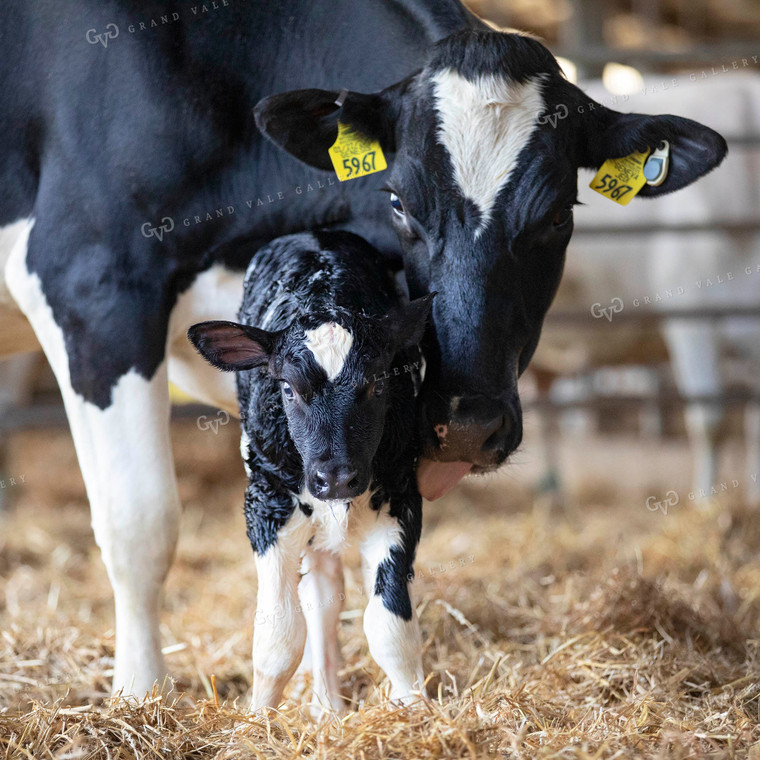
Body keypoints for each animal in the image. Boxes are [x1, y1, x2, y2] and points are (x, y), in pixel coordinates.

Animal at [188, 230, 430, 712]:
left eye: (378, 383)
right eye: (287, 388)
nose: (335, 477)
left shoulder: (401, 499)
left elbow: (390, 629)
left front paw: (418, 712)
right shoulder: (266, 505)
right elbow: (278, 637)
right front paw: (258, 718)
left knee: (324, 596)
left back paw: (327, 706)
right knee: (318, 598)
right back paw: (325, 707)